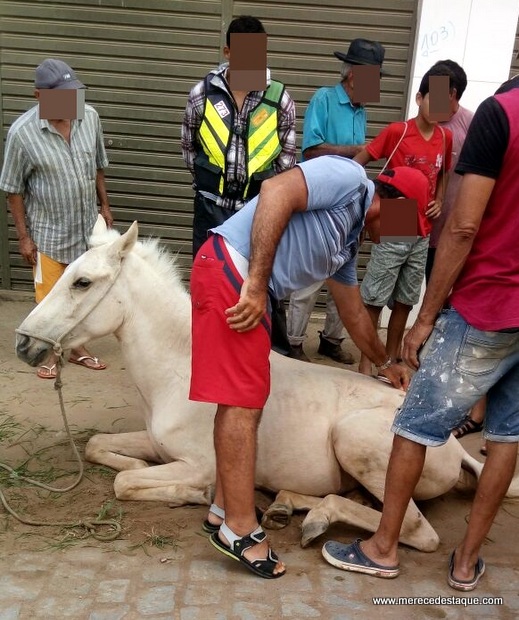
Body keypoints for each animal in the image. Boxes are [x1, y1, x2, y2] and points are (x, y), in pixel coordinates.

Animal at [16, 219, 519, 552]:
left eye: (82, 282)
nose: (24, 343)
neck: (182, 372)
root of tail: (452, 446)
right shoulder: (154, 442)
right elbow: (100, 447)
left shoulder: (199, 463)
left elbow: (124, 482)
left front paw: (191, 496)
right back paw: (284, 505)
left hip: (355, 440)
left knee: (416, 531)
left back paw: (316, 520)